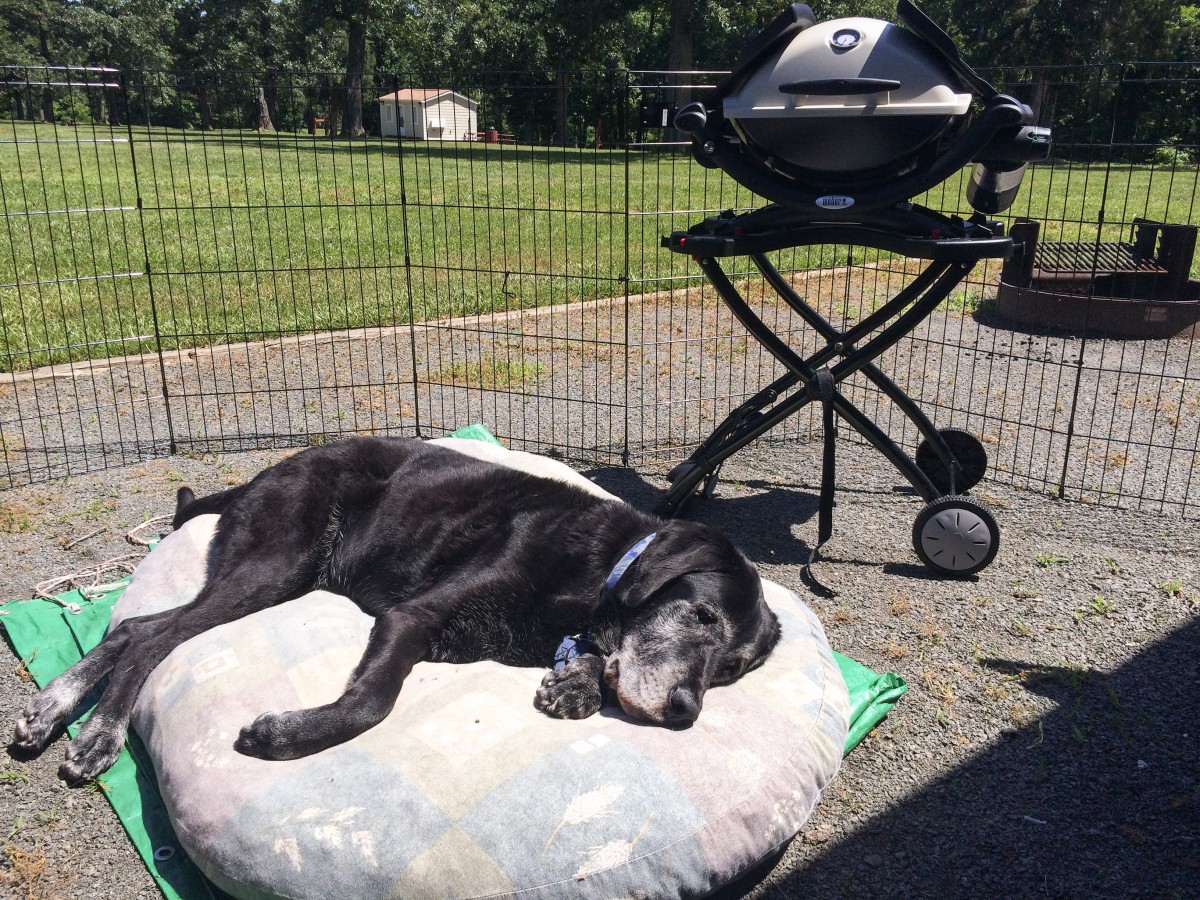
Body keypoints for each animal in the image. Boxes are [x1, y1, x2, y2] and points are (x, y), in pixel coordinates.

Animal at [14, 436, 782, 782]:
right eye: (704, 618)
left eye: (731, 670)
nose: (685, 711)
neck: (604, 566)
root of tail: (267, 470)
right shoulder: (414, 618)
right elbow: (371, 702)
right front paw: (284, 735)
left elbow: (599, 658)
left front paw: (578, 684)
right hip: (275, 564)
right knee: (151, 635)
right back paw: (98, 732)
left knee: (136, 626)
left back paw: (51, 707)